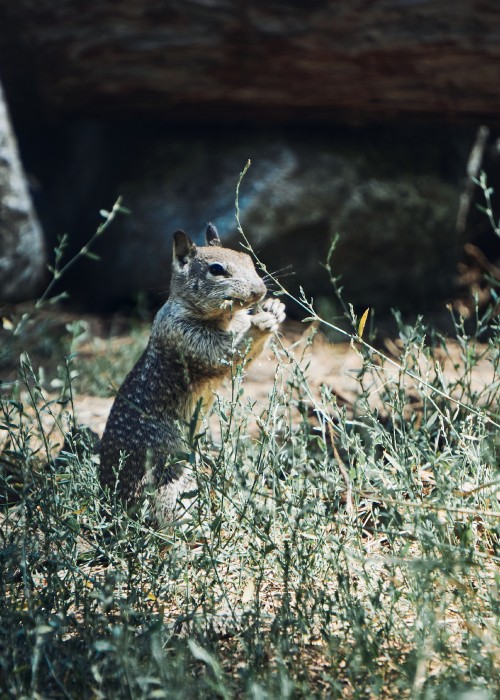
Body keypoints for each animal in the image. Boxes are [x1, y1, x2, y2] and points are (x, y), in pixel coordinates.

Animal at [98, 224, 286, 524]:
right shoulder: (186, 336)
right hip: (165, 482)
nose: (259, 291)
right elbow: (225, 354)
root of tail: (107, 499)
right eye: (216, 269)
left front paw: (274, 309)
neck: (224, 319)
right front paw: (261, 321)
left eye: (248, 259)